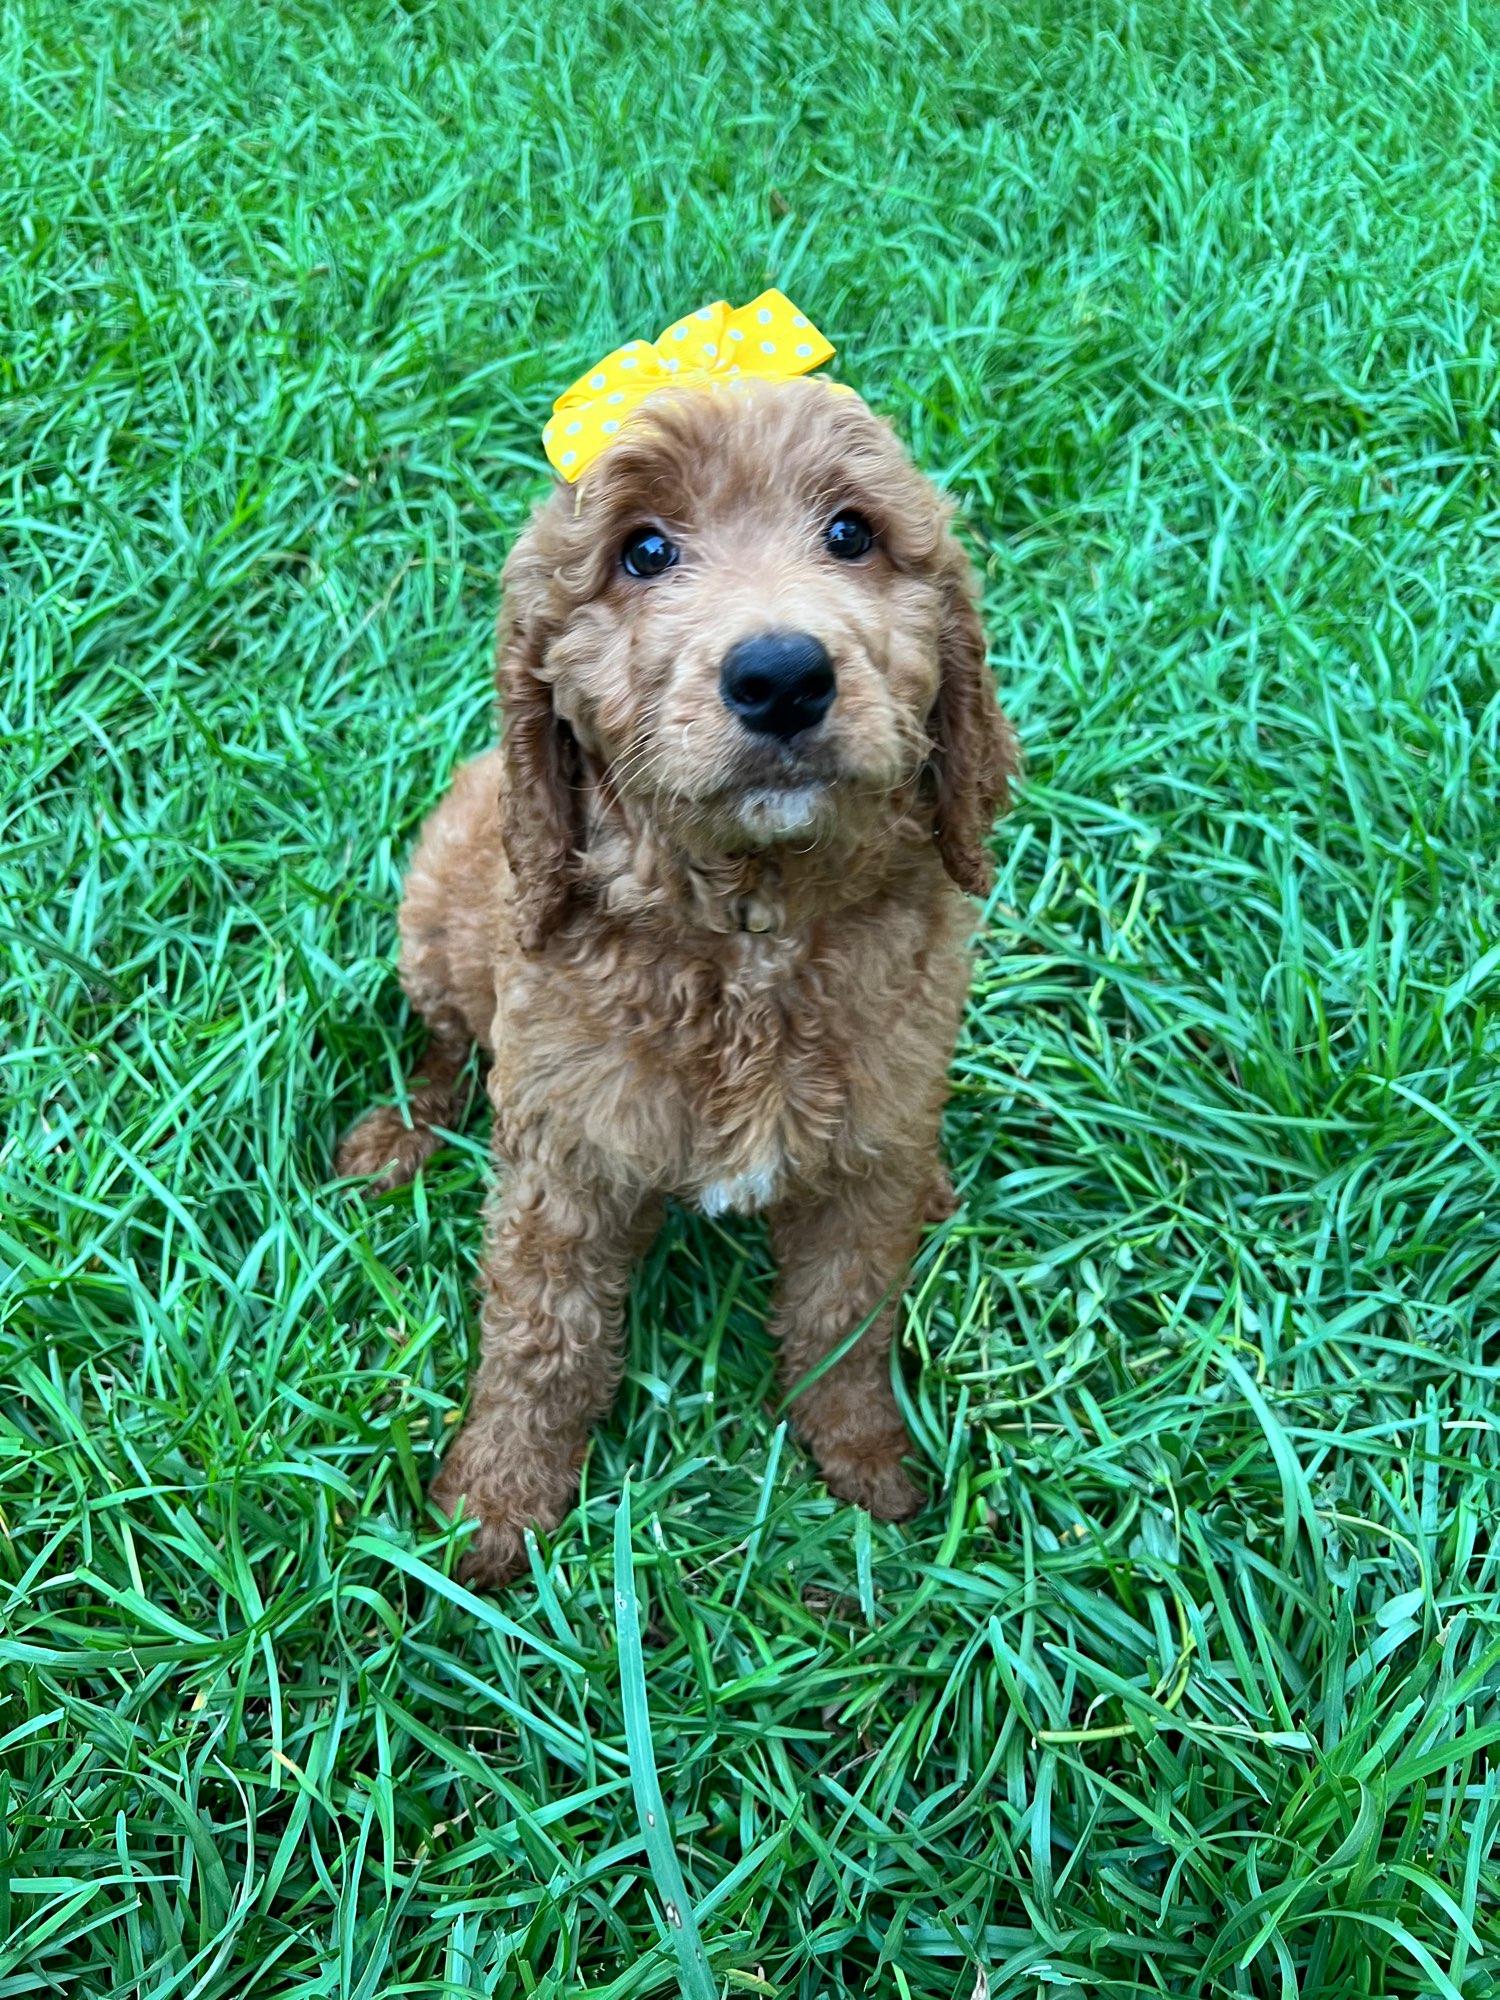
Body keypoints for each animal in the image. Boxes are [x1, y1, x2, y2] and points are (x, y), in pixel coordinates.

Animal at [337, 375, 1018, 1586]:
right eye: (644, 551)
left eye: (852, 534)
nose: (782, 674)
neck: (748, 930)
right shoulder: (563, 1162)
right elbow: (541, 1336)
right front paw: (492, 1512)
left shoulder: (864, 1157)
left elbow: (848, 1312)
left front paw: (866, 1465)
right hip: (435, 918)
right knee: (447, 1043)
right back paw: (398, 1136)